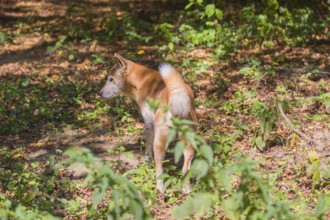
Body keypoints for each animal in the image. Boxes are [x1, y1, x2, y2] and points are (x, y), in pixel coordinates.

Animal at [98, 54, 196, 193]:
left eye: (111, 79)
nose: (99, 93)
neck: (142, 81)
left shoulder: (149, 124)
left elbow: (147, 151)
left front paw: (146, 165)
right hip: (188, 145)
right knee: (185, 168)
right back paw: (186, 189)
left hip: (159, 142)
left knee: (160, 169)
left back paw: (159, 190)